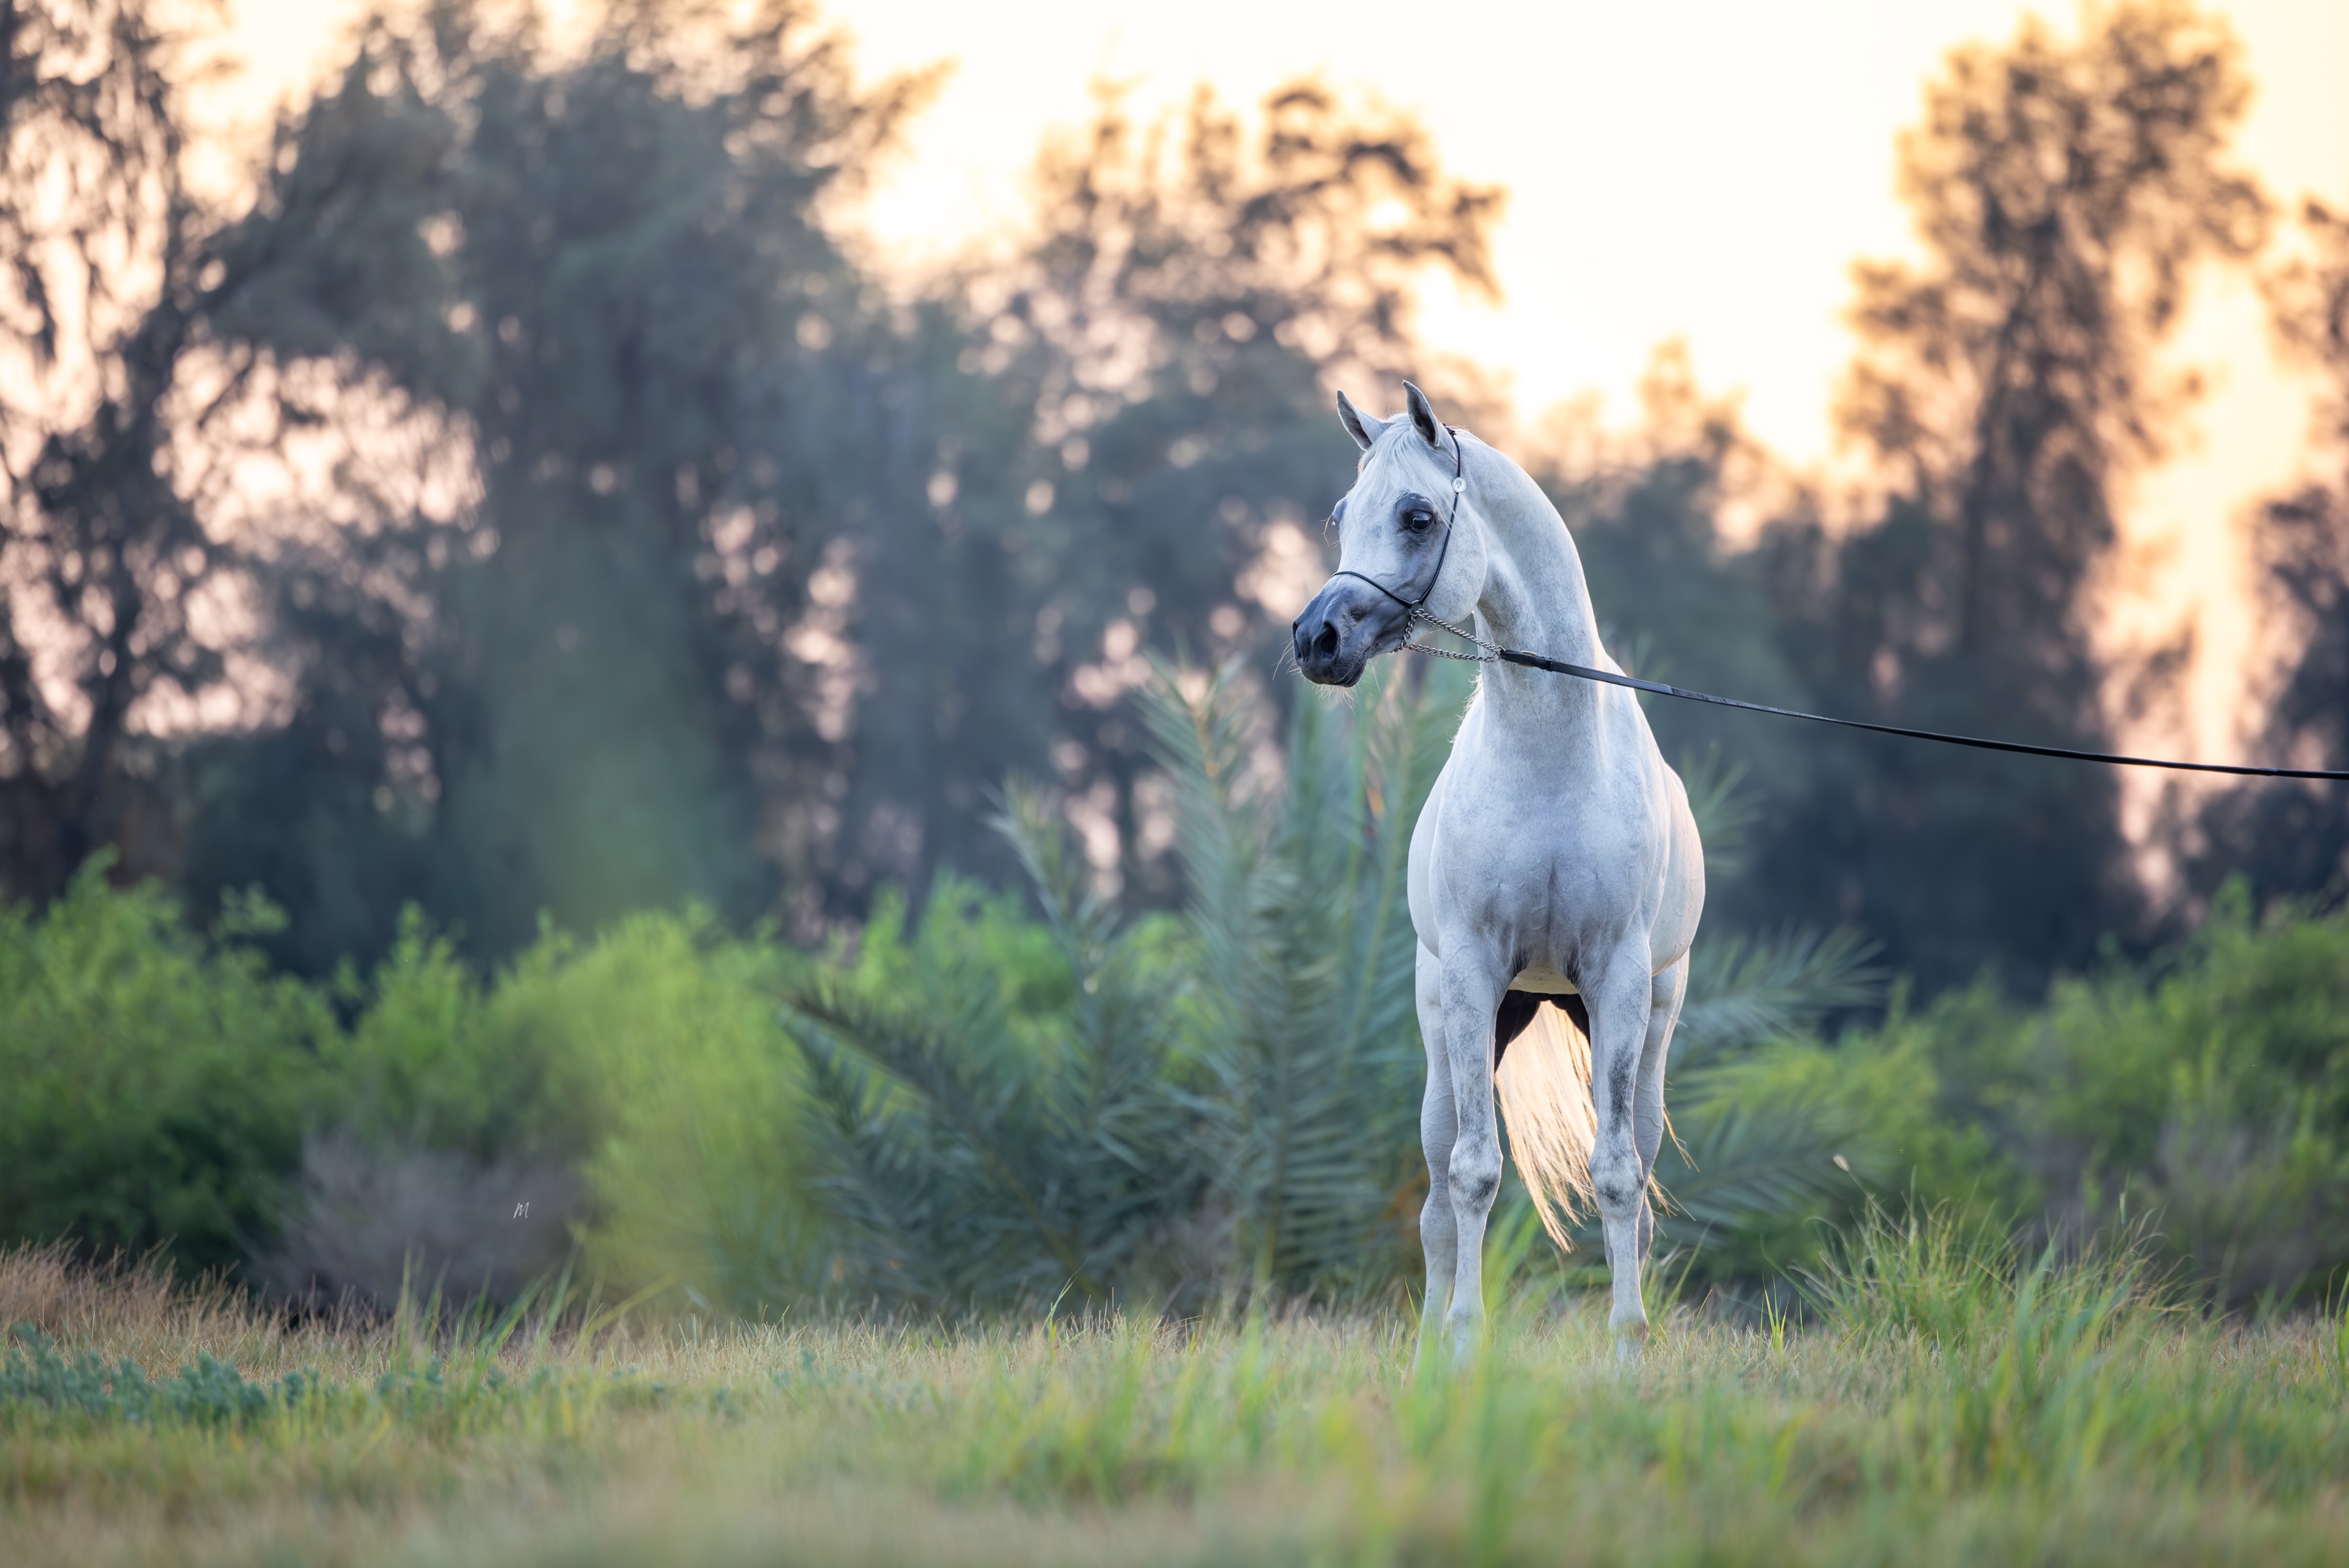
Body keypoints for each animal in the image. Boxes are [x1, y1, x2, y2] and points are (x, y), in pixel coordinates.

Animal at [1291, 382, 1705, 1363]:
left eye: (1416, 515)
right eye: (1342, 514)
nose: (1316, 637)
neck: (1549, 753)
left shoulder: (1620, 982)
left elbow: (1618, 1177)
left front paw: (1628, 1345)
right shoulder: (1476, 975)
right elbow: (1474, 1175)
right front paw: (1462, 1342)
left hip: (1640, 1031)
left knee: (1636, 1169)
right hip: (1454, 1033)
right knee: (1440, 1199)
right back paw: (1428, 1340)